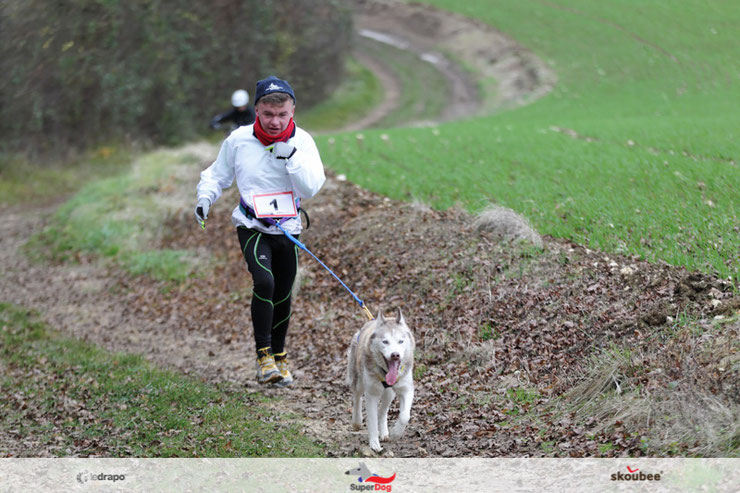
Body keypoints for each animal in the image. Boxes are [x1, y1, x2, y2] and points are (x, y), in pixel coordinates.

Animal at [348, 310, 416, 452]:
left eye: (401, 341)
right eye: (385, 342)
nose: (395, 355)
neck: (385, 373)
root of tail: (370, 322)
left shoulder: (406, 389)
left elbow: (404, 416)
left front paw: (396, 433)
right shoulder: (371, 394)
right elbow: (372, 421)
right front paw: (374, 444)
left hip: (389, 394)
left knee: (382, 411)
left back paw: (384, 432)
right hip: (359, 382)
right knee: (357, 397)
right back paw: (357, 421)